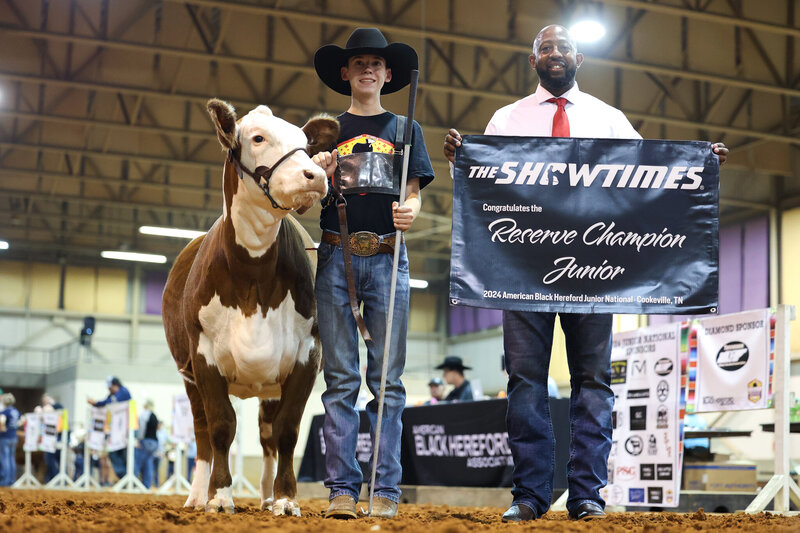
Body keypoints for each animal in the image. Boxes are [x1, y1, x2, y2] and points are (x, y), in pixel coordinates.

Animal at [162, 97, 338, 512]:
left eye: (306, 143)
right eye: (257, 138)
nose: (314, 175)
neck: (253, 272)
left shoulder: (307, 355)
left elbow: (287, 430)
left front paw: (286, 499)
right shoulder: (203, 357)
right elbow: (222, 426)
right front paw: (220, 496)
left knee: (268, 435)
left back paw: (266, 496)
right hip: (187, 376)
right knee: (202, 432)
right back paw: (196, 495)